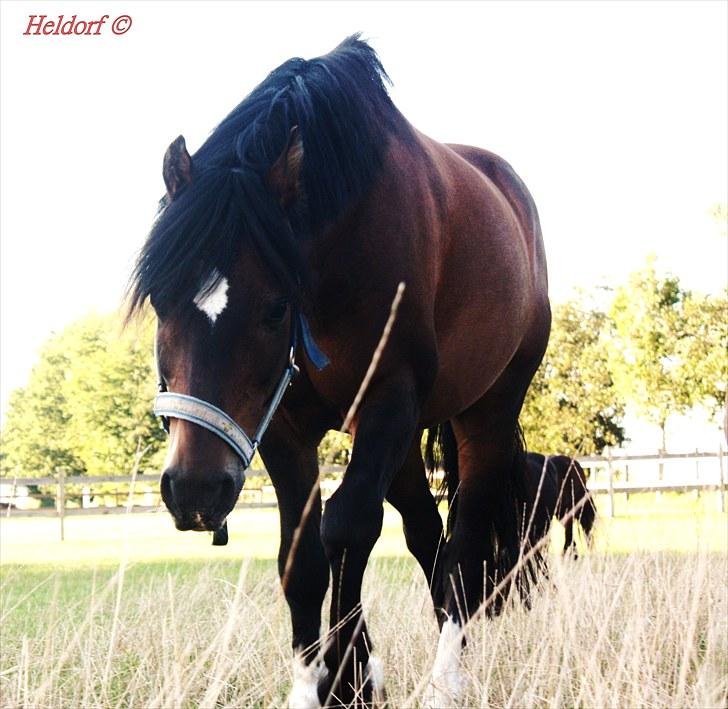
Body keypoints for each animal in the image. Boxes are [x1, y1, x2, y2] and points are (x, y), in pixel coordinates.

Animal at [127, 35, 550, 707]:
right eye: (161, 300)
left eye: (277, 307)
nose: (195, 490)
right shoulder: (284, 427)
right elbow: (302, 559)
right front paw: (323, 683)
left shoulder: (388, 400)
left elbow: (347, 530)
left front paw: (350, 676)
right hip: (401, 449)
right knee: (425, 535)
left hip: (484, 415)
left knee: (461, 544)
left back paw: (447, 679)